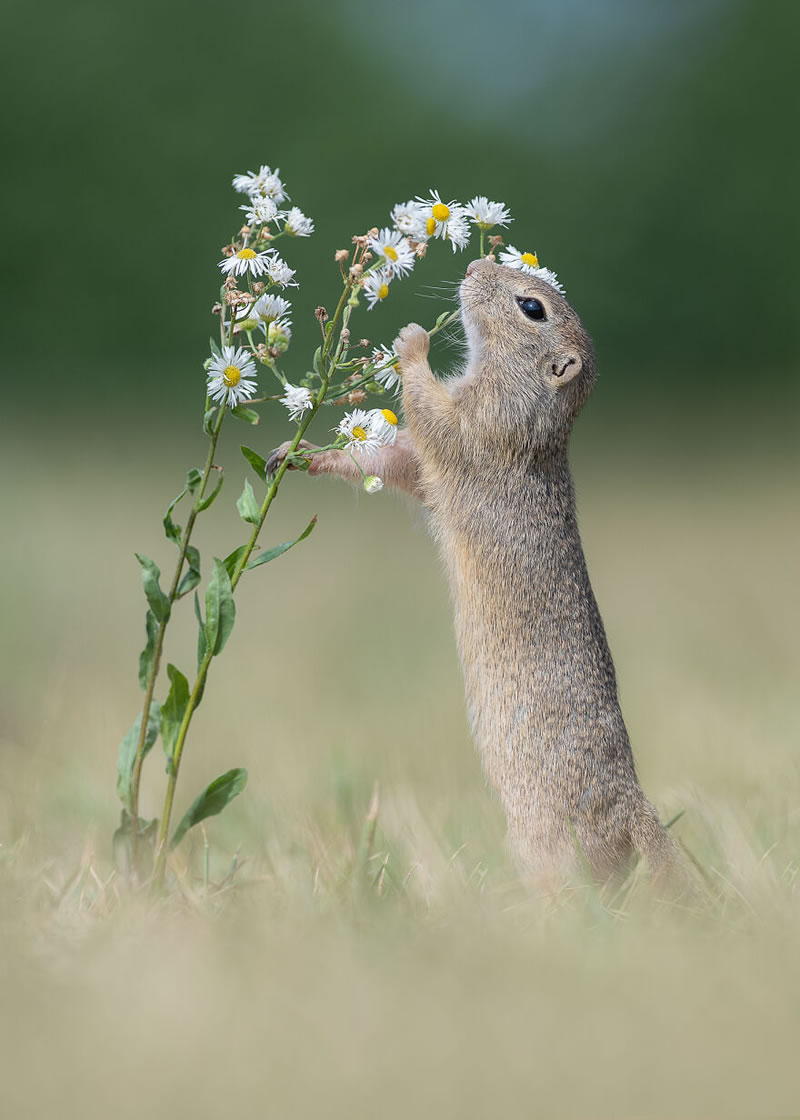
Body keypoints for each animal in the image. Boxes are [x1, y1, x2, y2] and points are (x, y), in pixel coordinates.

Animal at [270, 257, 681, 887]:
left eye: (532, 307)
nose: (473, 263)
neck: (532, 405)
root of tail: (636, 809)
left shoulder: (480, 426)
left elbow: (431, 417)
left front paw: (411, 341)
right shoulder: (436, 453)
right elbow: (393, 459)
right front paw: (301, 454)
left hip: (550, 847)